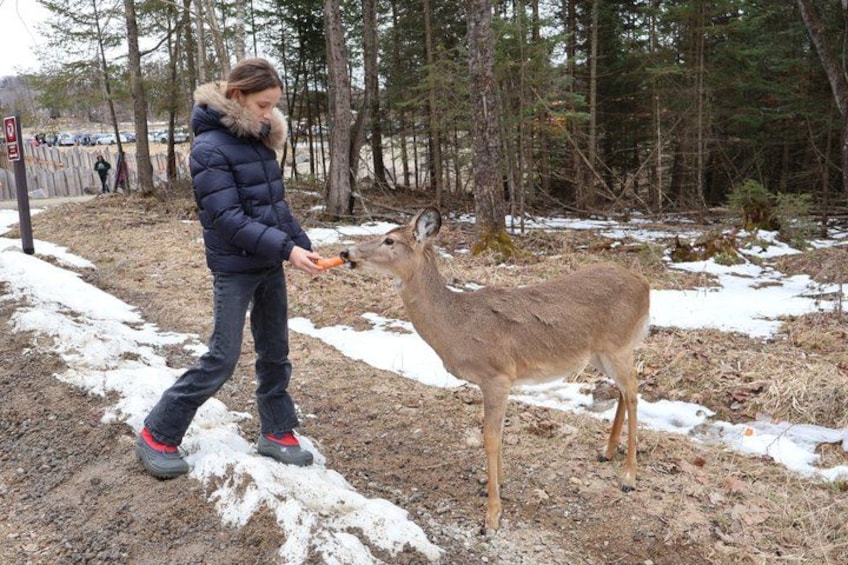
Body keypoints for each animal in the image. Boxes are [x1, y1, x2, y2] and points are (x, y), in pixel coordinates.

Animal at [340, 207, 651, 533]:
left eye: (389, 240)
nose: (346, 252)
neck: (457, 324)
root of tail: (645, 284)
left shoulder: (497, 375)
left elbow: (490, 438)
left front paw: (492, 515)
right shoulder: (491, 381)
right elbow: (495, 434)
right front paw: (496, 484)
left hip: (618, 346)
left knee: (633, 393)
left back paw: (629, 476)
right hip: (599, 353)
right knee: (622, 390)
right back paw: (607, 452)